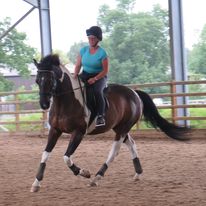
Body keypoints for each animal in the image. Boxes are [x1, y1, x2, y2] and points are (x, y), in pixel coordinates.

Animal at [30, 54, 190, 192]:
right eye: (37, 80)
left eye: (50, 80)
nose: (44, 104)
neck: (66, 101)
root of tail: (134, 93)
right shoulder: (55, 130)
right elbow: (45, 154)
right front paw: (36, 183)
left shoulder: (78, 132)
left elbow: (66, 157)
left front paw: (84, 172)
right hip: (120, 128)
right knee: (131, 144)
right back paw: (138, 173)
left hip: (122, 129)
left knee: (114, 152)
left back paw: (96, 178)